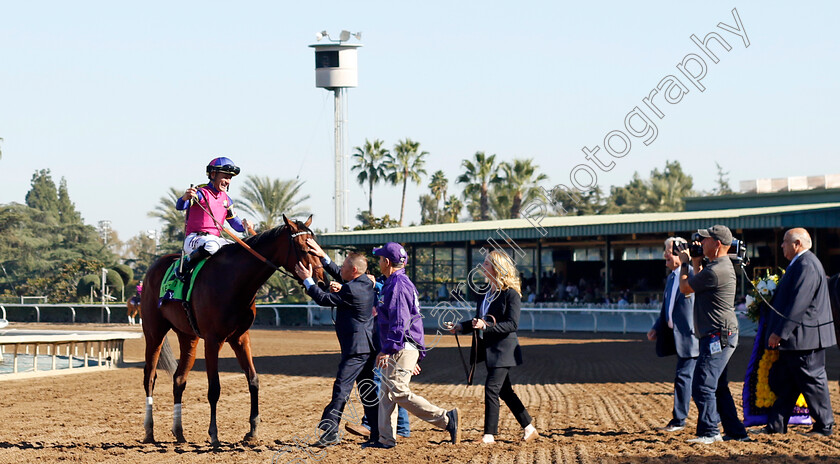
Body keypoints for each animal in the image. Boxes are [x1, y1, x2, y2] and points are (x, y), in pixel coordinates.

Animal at [139, 216, 324, 444]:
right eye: (305, 249)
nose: (322, 281)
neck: (234, 280)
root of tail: (152, 268)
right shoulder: (213, 340)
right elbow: (214, 388)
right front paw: (214, 434)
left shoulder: (240, 338)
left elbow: (253, 379)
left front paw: (253, 430)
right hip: (154, 332)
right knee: (150, 376)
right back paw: (149, 430)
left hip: (188, 336)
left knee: (179, 379)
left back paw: (179, 431)